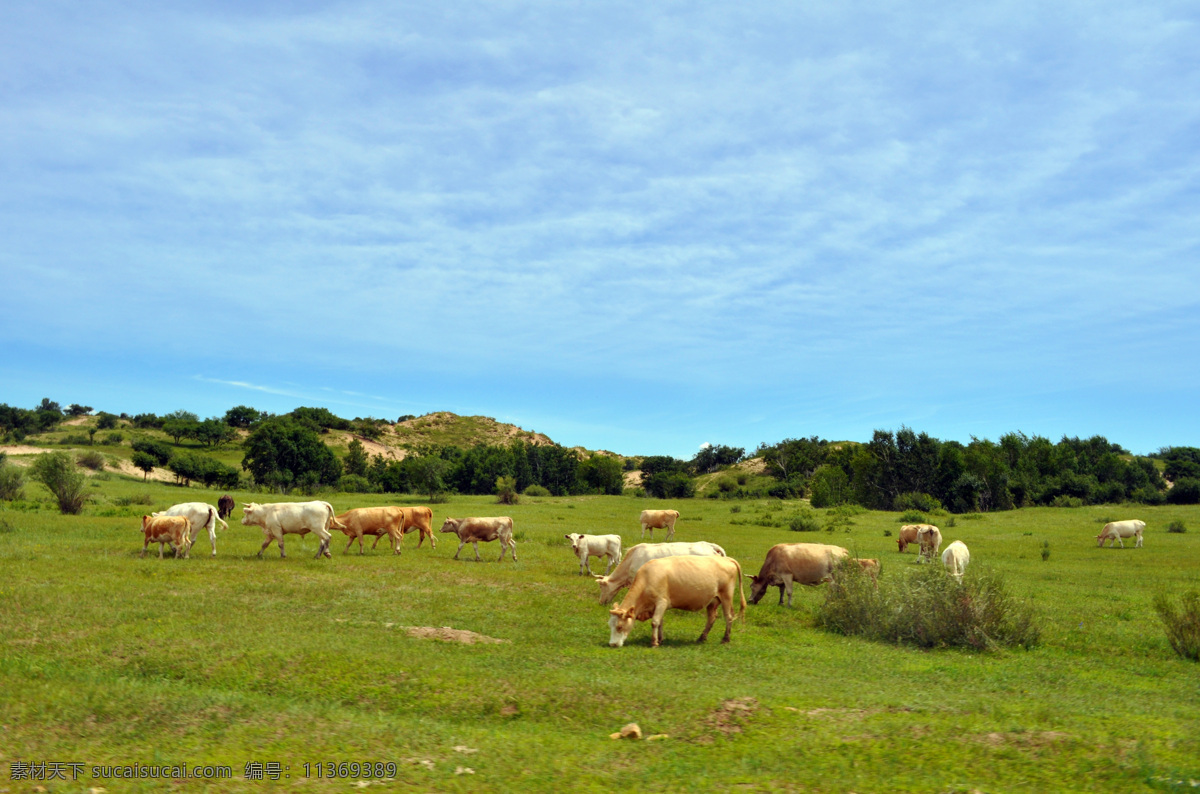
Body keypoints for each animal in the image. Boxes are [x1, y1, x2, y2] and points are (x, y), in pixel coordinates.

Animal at [604, 556, 744, 652]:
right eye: (610, 625)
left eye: (620, 627)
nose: (612, 644)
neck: (647, 578)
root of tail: (726, 559)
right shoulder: (657, 606)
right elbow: (660, 622)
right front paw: (660, 639)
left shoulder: (661, 602)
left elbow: (655, 622)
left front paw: (654, 643)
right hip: (713, 601)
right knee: (711, 618)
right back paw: (701, 638)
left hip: (726, 597)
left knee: (728, 617)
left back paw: (725, 639)